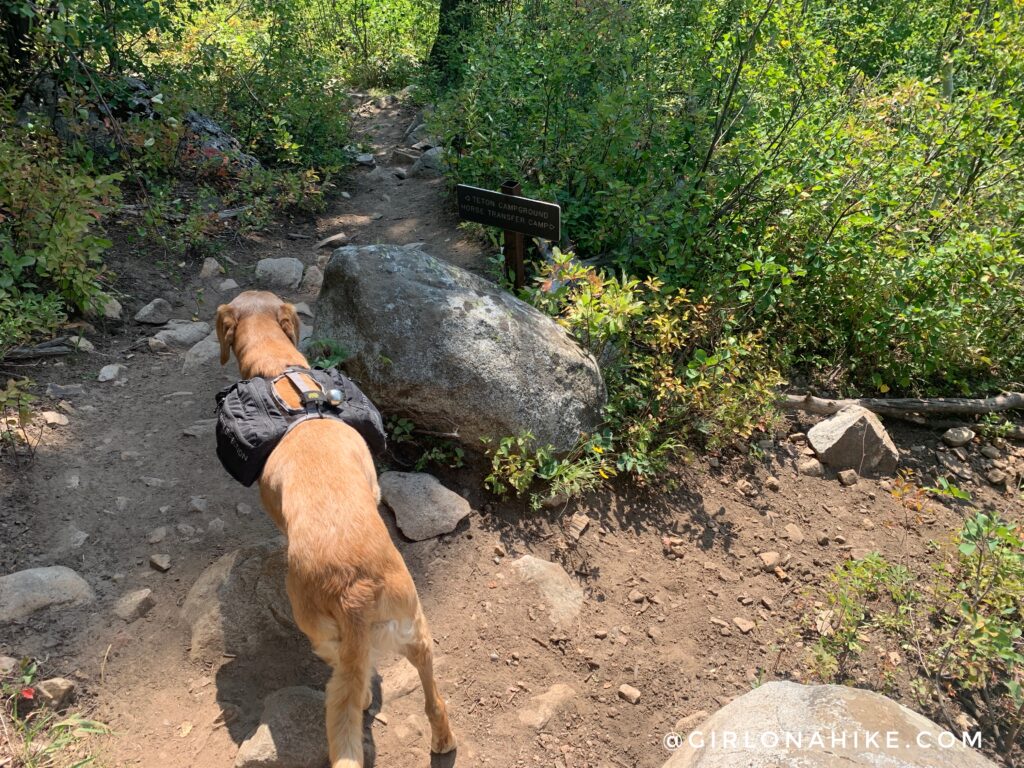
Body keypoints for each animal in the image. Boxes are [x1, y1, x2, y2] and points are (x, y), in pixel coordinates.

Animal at [216, 290, 456, 768]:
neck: (281, 373)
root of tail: (354, 592)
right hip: (417, 629)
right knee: (433, 698)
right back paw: (442, 741)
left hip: (320, 632)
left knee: (353, 683)